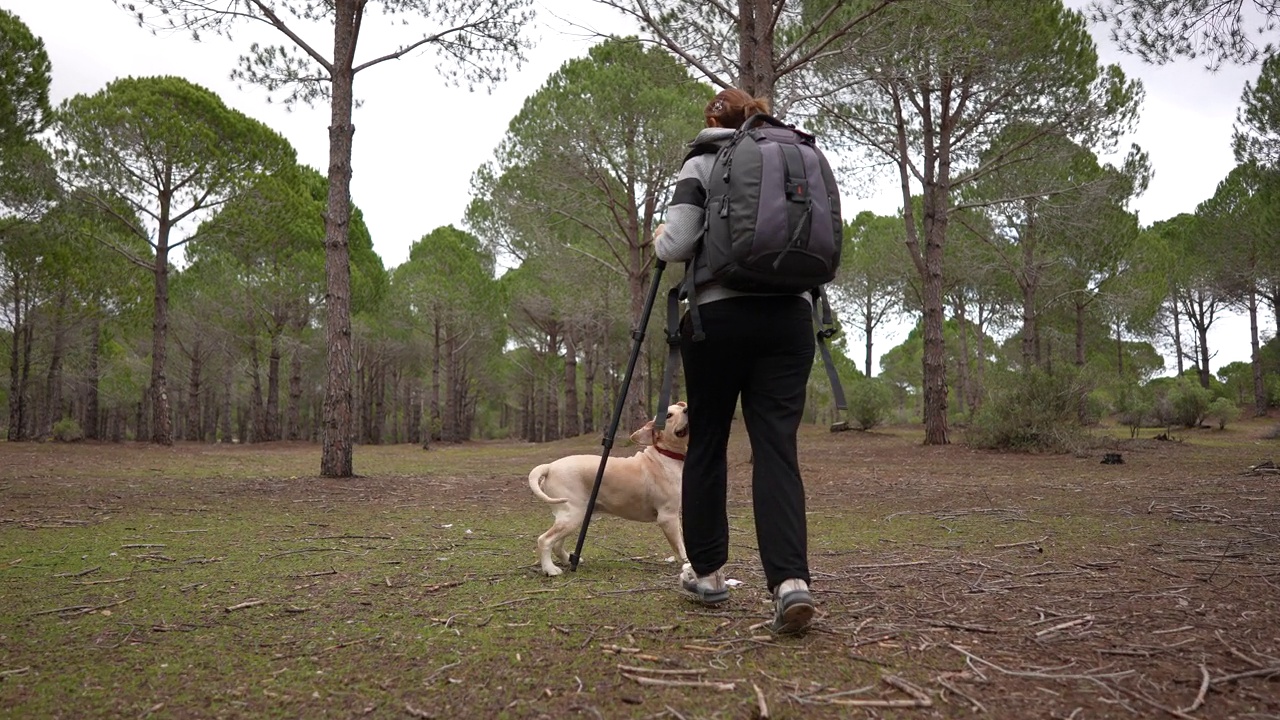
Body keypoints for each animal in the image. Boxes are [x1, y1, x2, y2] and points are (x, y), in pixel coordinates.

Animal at [529, 399, 691, 573]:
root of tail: (550, 466)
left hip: (572, 517)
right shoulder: (668, 516)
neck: (667, 455)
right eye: (668, 415)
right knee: (545, 540)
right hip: (572, 514)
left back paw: (568, 560)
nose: (687, 409)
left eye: (681, 407)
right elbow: (680, 546)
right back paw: (550, 570)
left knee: (557, 544)